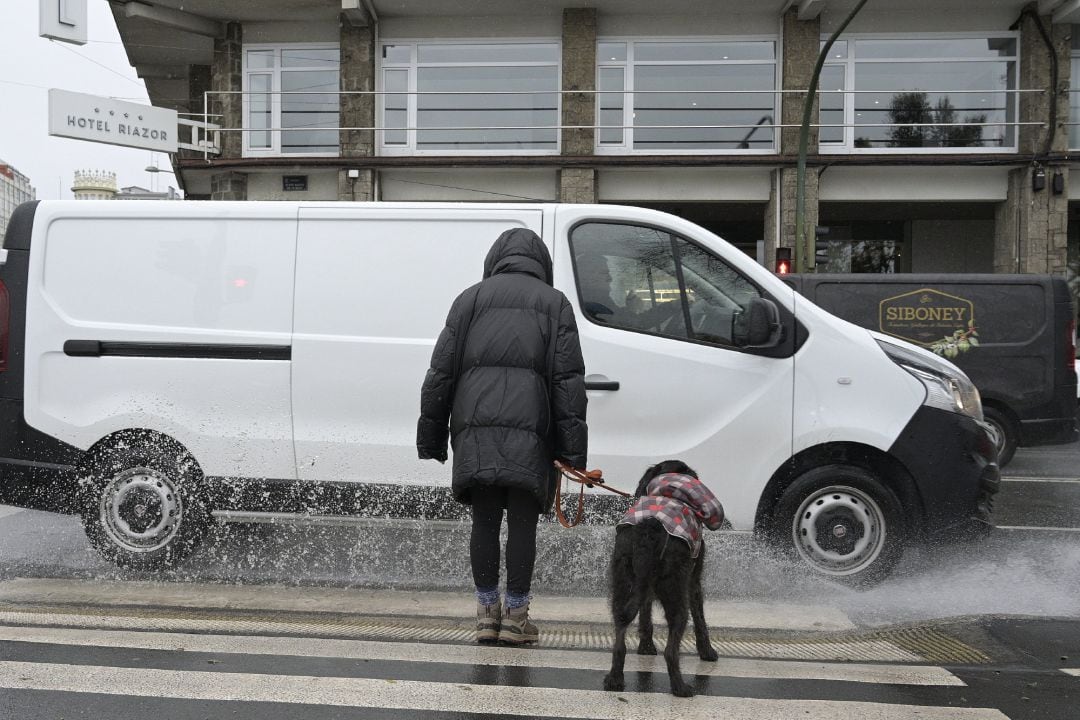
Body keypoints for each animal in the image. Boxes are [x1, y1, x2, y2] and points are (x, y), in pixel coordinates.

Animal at [604, 462, 721, 699]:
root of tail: (650, 529)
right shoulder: (693, 581)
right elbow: (700, 618)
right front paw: (707, 651)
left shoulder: (645, 586)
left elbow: (645, 613)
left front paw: (646, 647)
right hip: (675, 593)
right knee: (671, 650)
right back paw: (681, 688)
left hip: (622, 584)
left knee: (620, 637)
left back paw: (614, 679)